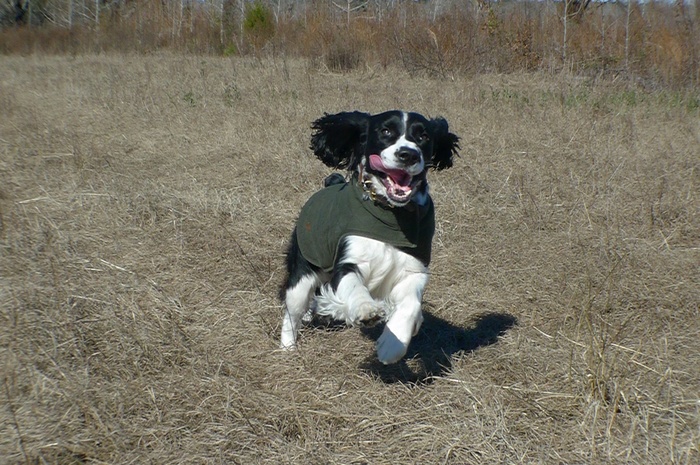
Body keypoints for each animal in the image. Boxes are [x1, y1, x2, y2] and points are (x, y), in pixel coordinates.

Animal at [278, 110, 460, 364]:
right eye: (385, 131)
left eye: (423, 135)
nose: (408, 154)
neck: (389, 214)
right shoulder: (348, 260)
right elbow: (355, 285)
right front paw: (366, 310)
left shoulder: (414, 268)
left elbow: (411, 304)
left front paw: (392, 345)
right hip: (302, 272)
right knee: (292, 310)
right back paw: (288, 347)